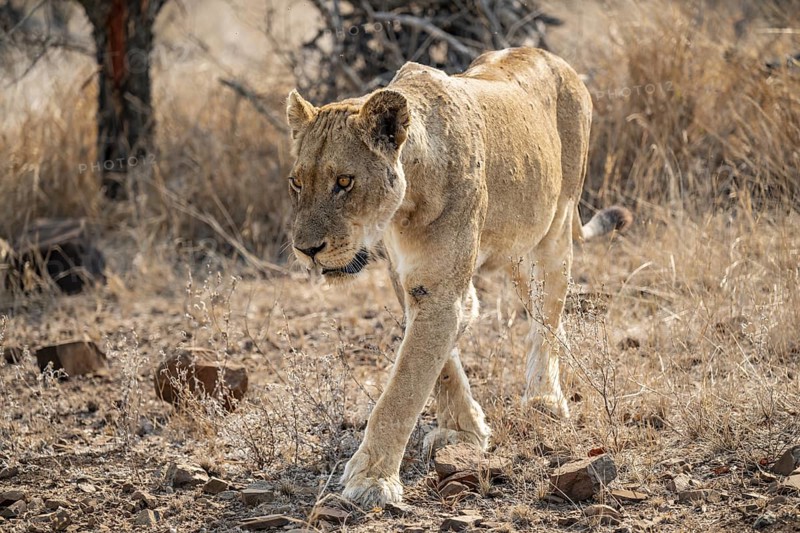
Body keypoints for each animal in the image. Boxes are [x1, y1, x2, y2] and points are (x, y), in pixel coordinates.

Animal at [285, 47, 632, 508]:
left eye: (344, 181)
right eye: (296, 182)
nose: (306, 250)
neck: (404, 206)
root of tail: (549, 55)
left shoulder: (440, 291)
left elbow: (403, 388)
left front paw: (372, 479)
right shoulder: (410, 279)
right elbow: (438, 364)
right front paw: (464, 430)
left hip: (555, 229)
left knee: (548, 315)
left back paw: (544, 398)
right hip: (515, 247)